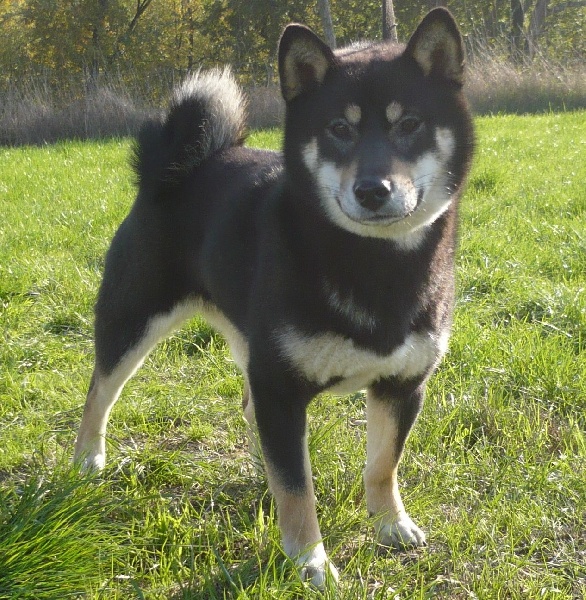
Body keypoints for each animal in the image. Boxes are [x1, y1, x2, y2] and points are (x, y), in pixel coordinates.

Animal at [73, 9, 474, 588]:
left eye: (409, 124)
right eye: (339, 129)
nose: (372, 189)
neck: (374, 263)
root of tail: (177, 169)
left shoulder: (403, 385)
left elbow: (381, 465)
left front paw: (390, 524)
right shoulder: (281, 391)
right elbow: (296, 485)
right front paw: (309, 560)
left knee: (248, 411)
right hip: (132, 318)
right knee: (100, 392)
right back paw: (87, 459)